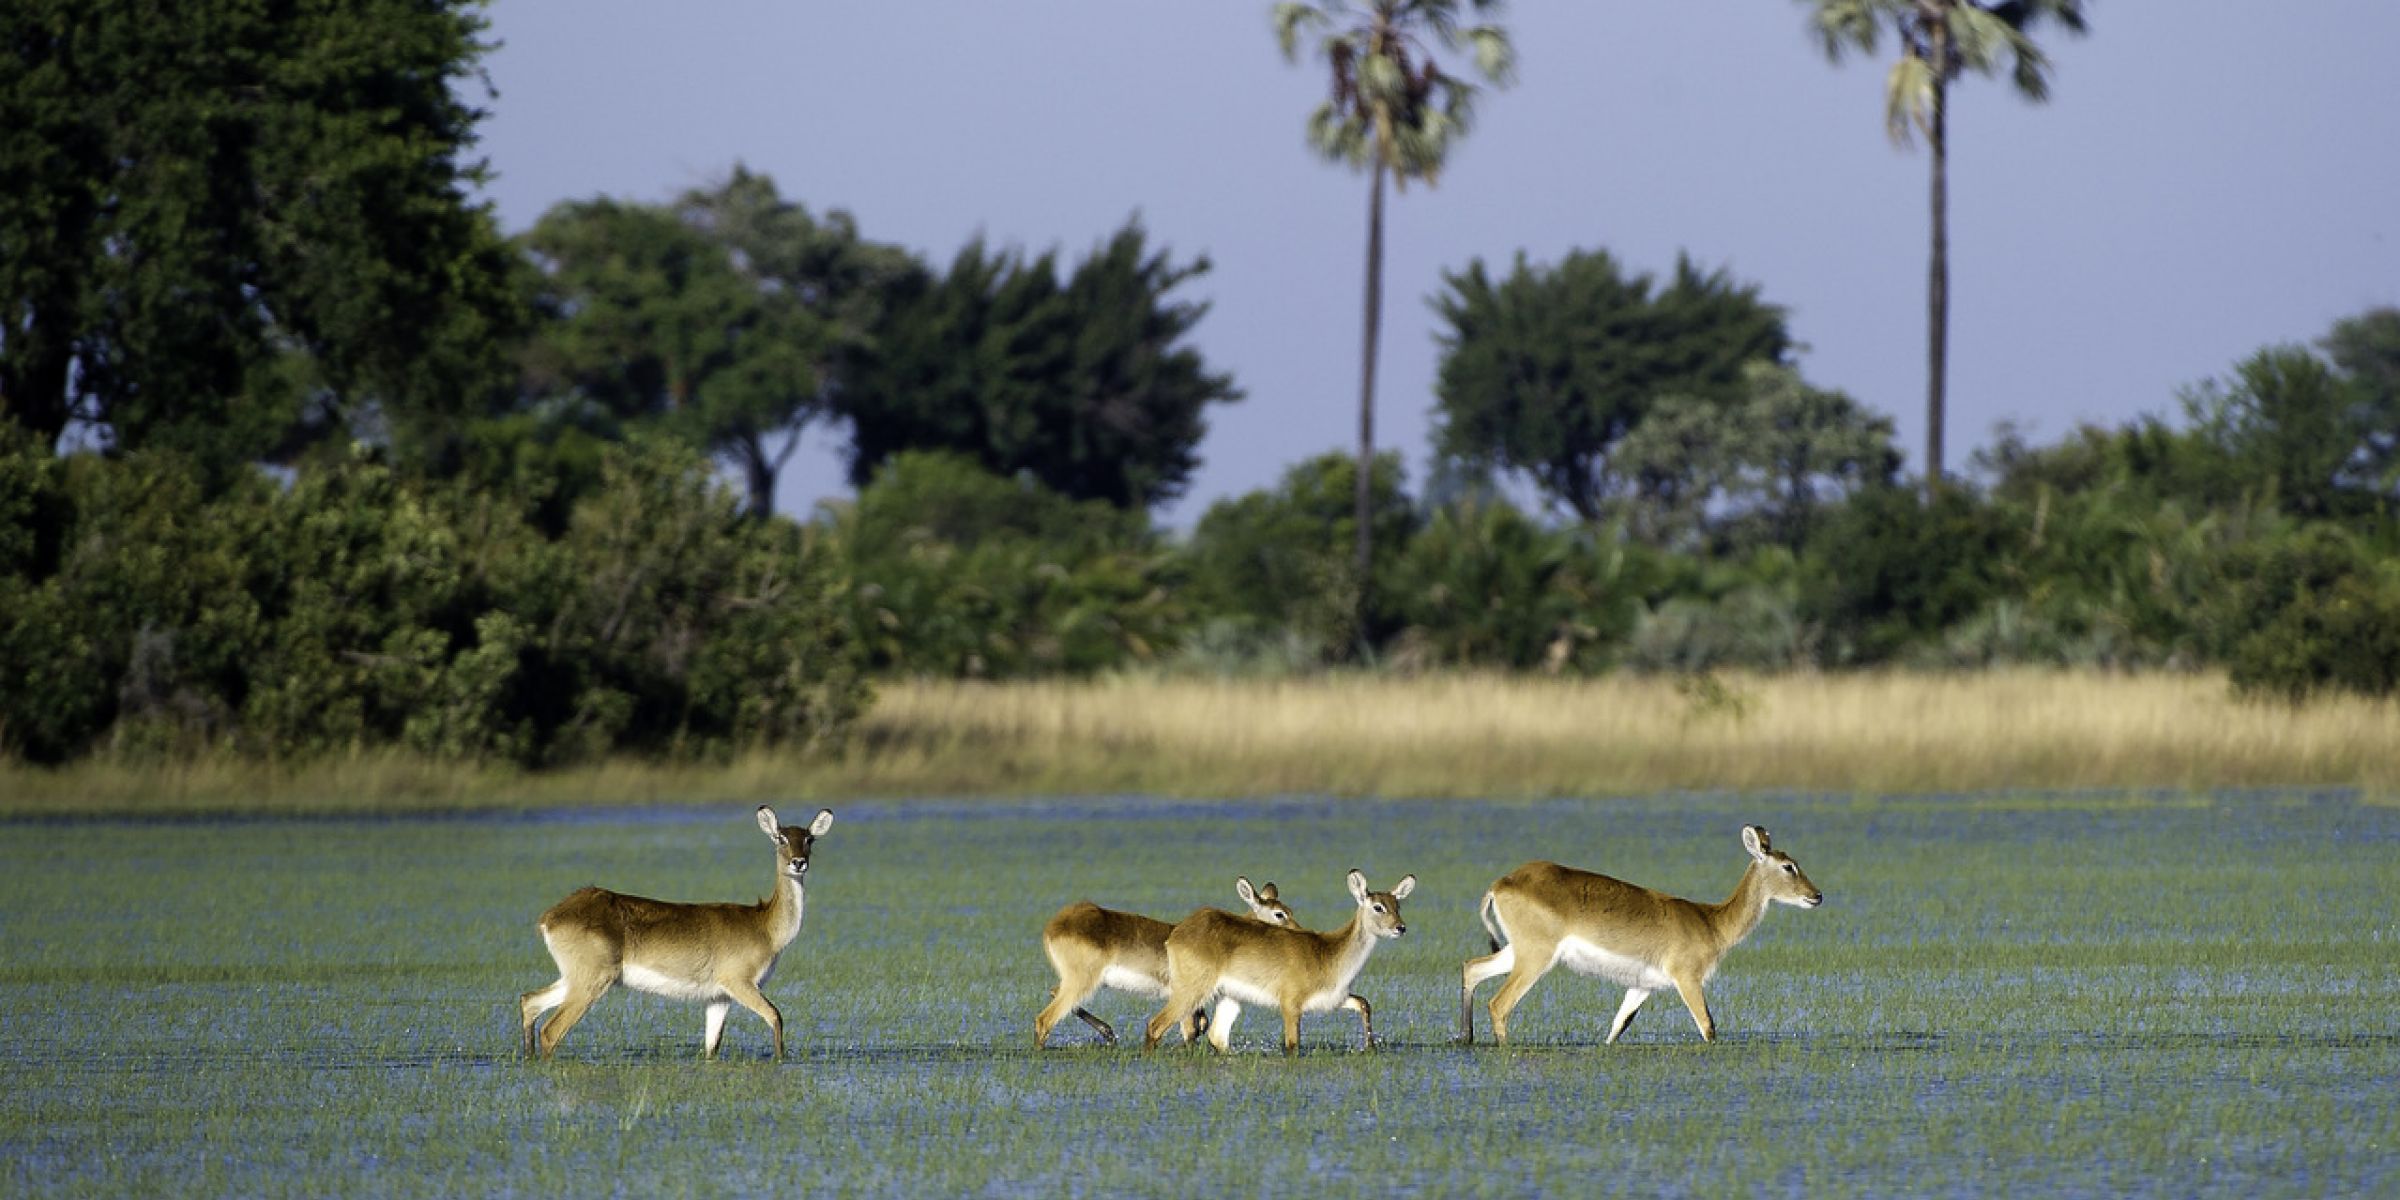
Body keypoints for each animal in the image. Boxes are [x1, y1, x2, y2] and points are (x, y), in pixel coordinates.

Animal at [519, 806, 833, 1060]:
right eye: (780, 838)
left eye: (809, 839)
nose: (798, 862)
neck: (765, 927)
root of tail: (551, 917)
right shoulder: (740, 982)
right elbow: (776, 1017)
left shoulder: (718, 997)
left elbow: (711, 1047)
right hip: (591, 981)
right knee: (550, 1030)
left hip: (578, 978)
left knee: (529, 1001)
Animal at [1035, 877, 1298, 1048]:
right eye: (1279, 914)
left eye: (1289, 910)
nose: (1299, 932)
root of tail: (1054, 926)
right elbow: (1191, 1031)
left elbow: (1200, 1026)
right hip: (1082, 981)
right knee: (1044, 1019)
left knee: (1054, 994)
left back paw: (1108, 1033)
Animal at [1144, 869, 1416, 1056]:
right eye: (1378, 907)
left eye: (1398, 905)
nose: (1401, 928)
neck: (1329, 955)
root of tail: (1177, 933)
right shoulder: (1291, 1004)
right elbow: (1293, 1044)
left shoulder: (1335, 998)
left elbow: (1364, 1003)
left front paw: (1370, 1046)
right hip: (1191, 992)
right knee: (1154, 1026)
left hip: (1229, 997)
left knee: (1217, 1036)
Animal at [1460, 825, 1820, 1046]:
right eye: (1789, 866)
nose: (1817, 895)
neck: (1710, 922)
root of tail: (1502, 883)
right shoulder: (1688, 979)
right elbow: (1708, 1026)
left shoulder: (1641, 987)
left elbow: (1616, 1029)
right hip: (1535, 958)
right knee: (1499, 1004)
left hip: (1516, 952)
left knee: (1471, 968)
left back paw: (1465, 1038)